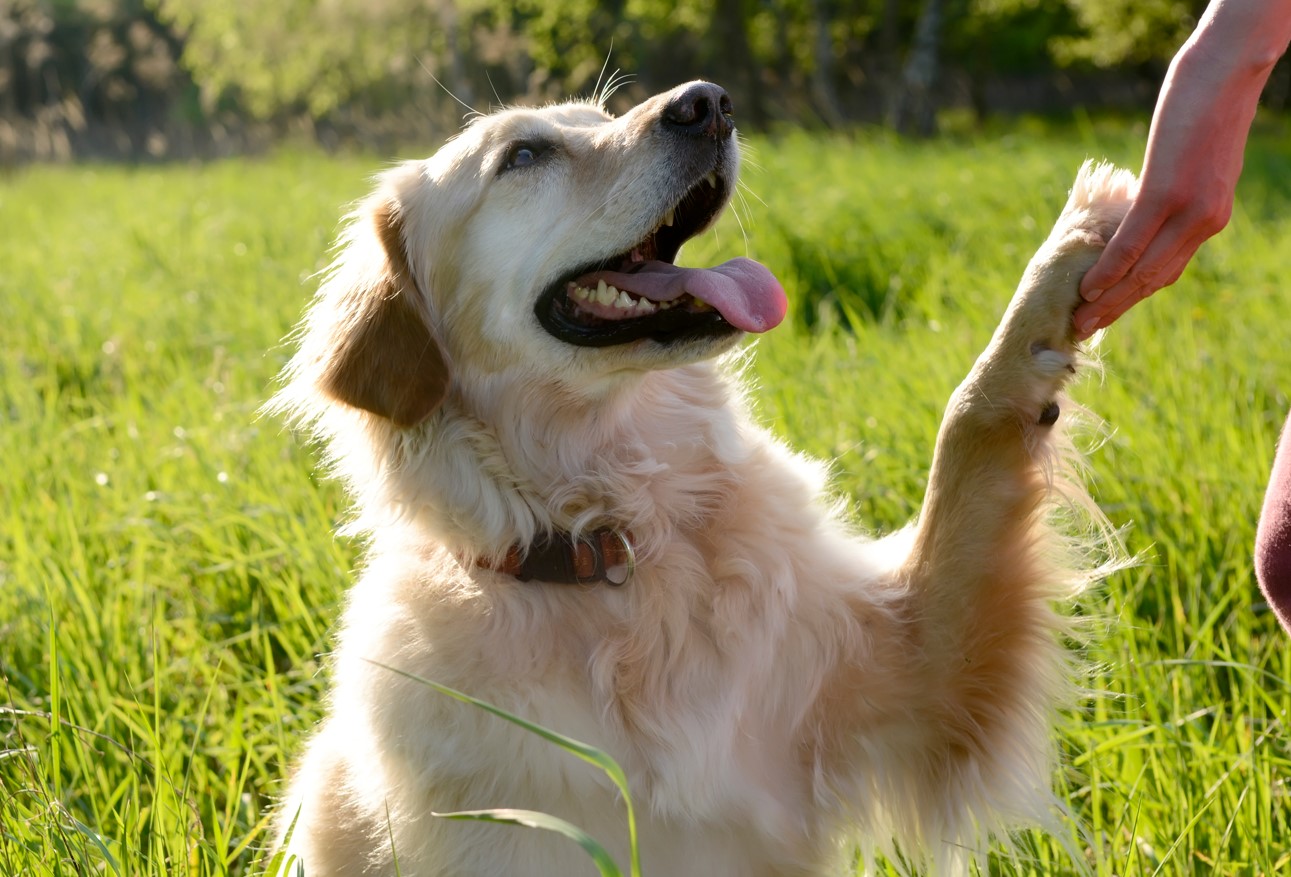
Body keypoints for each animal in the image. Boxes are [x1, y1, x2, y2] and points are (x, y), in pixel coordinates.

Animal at [267, 78, 1136, 873]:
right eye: (523, 155)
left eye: (601, 114)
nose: (706, 101)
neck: (622, 545)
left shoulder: (917, 672)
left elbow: (968, 430)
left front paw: (1072, 248)